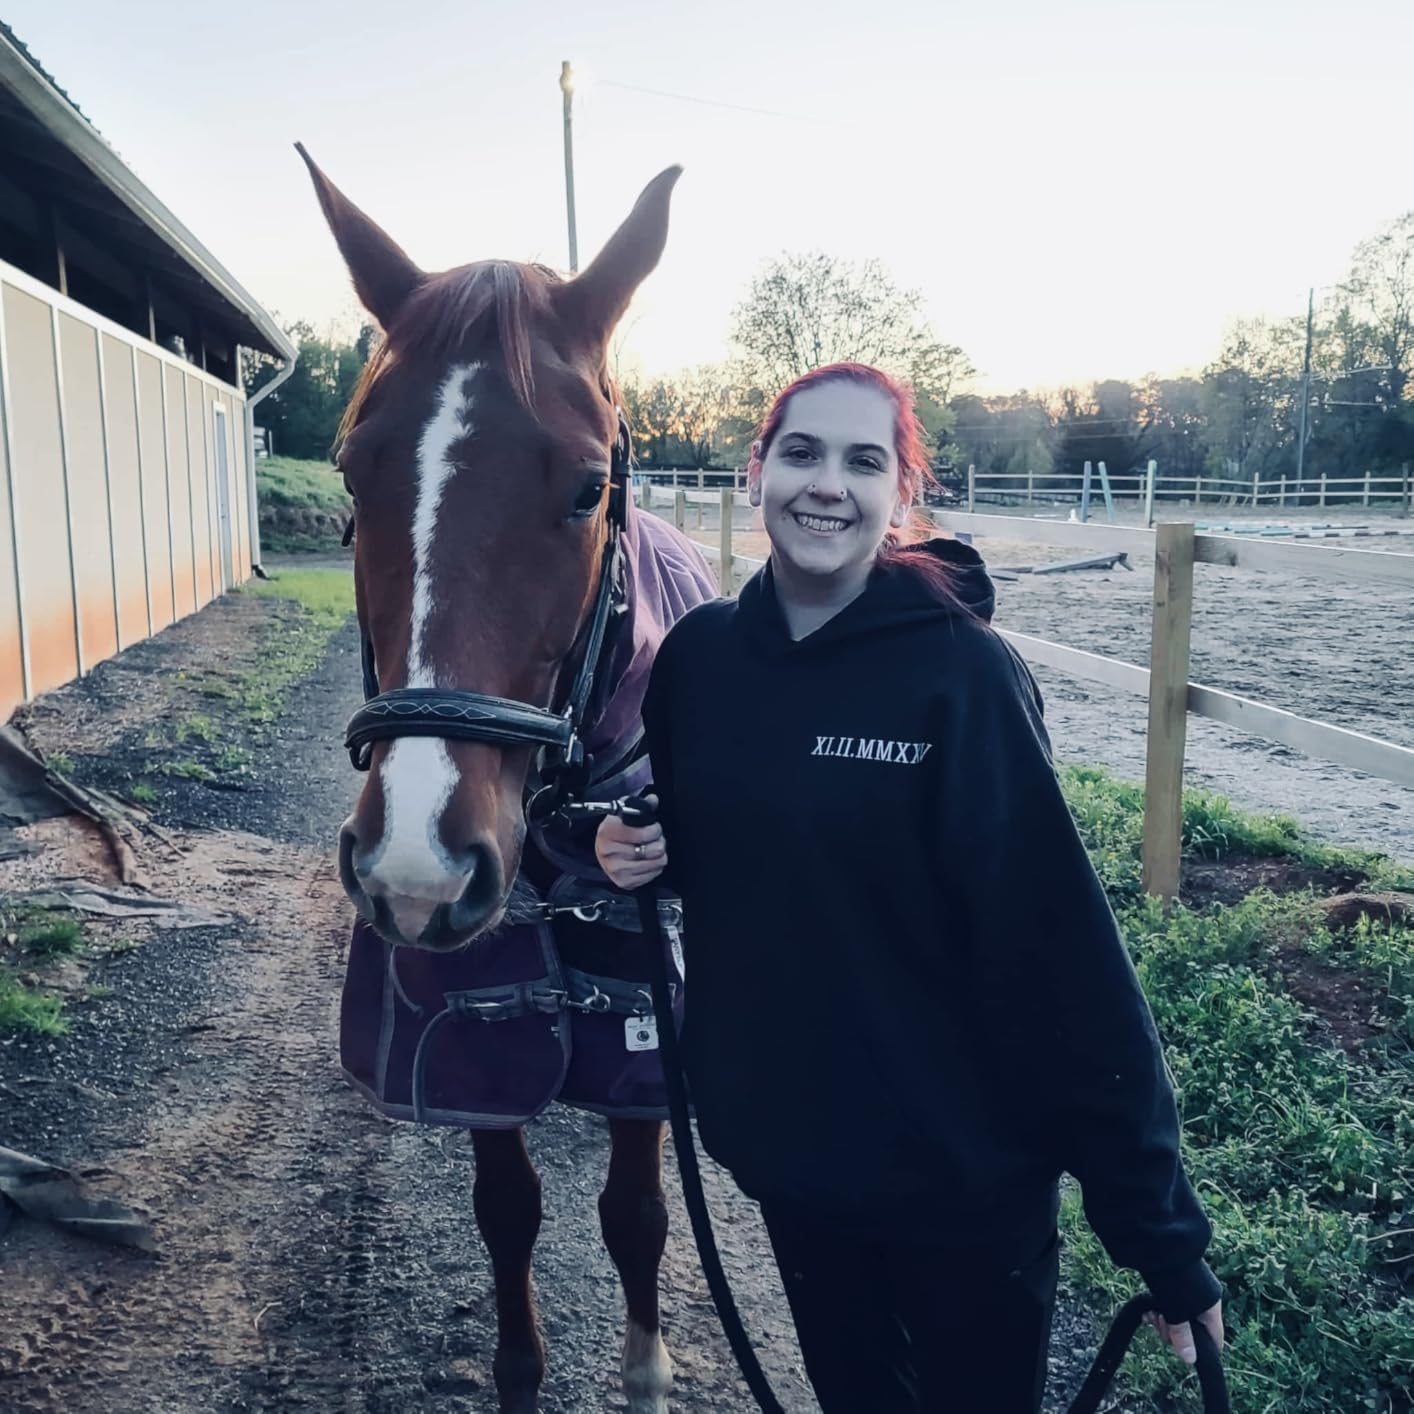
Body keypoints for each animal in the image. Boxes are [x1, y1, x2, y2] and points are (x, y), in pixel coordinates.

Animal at [298, 149, 717, 1413]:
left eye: (585, 488)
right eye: (354, 476)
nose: (415, 864)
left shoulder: (641, 1009)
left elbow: (637, 1212)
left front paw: (644, 1365)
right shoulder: (472, 1005)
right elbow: (507, 1210)